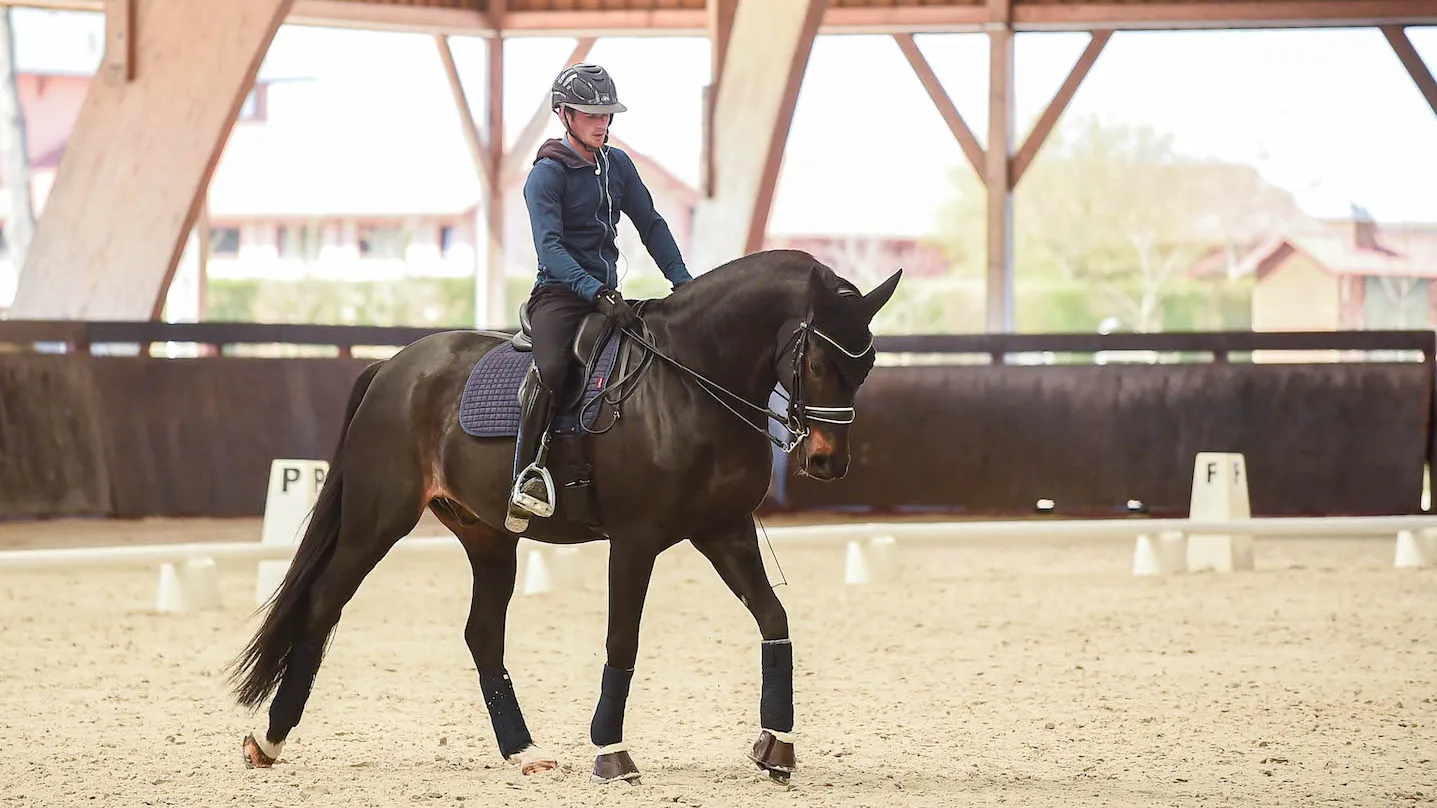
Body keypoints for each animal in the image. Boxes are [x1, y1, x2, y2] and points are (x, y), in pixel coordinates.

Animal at [226, 248, 901, 785]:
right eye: (817, 363)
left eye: (866, 366)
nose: (826, 461)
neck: (692, 381)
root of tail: (392, 366)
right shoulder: (635, 539)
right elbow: (622, 638)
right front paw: (612, 753)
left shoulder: (724, 531)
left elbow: (773, 619)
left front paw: (777, 747)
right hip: (378, 520)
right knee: (322, 605)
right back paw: (269, 741)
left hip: (487, 535)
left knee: (482, 633)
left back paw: (524, 752)